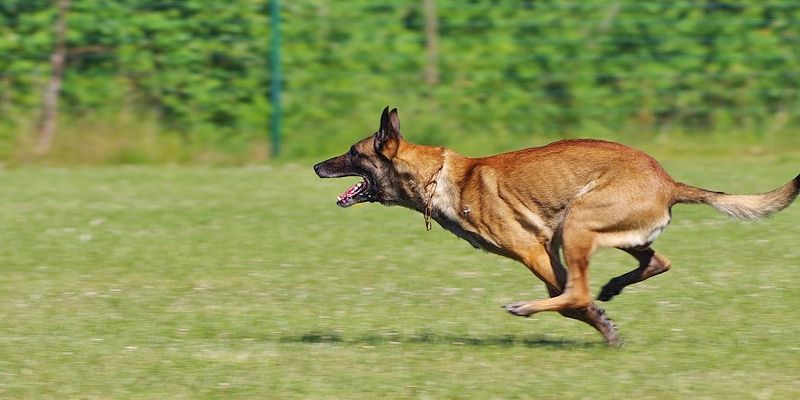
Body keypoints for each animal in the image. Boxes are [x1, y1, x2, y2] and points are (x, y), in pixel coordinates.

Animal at [314, 107, 800, 346]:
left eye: (353, 152)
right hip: (608, 233)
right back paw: (612, 289)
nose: (318, 166)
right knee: (656, 261)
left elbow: (571, 300)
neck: (441, 176)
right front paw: (605, 321)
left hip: (576, 225)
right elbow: (571, 297)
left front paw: (601, 325)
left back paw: (531, 308)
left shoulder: (535, 250)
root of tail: (668, 181)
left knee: (581, 291)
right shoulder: (548, 254)